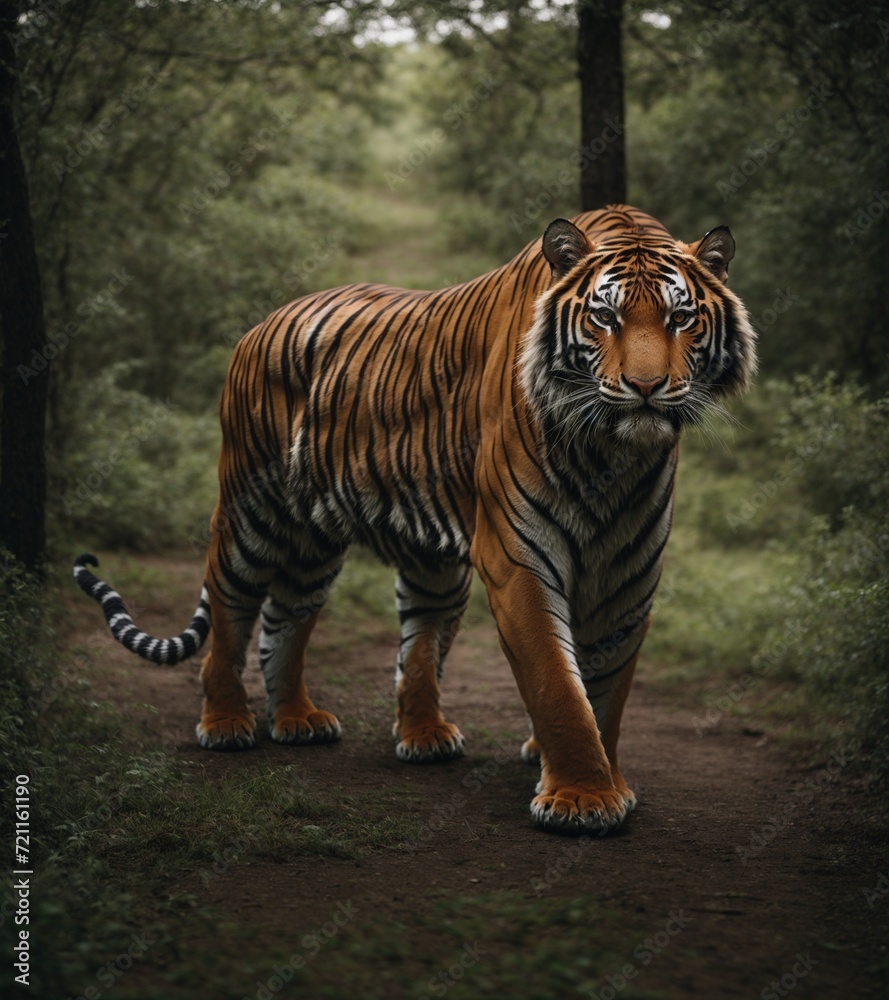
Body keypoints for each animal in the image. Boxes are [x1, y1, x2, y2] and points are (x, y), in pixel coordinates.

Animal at [75, 204, 756, 835]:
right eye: (604, 317)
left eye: (680, 318)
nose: (646, 386)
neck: (613, 456)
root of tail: (261, 323)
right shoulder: (515, 556)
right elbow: (557, 683)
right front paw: (581, 800)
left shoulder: (628, 571)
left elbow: (607, 689)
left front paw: (602, 779)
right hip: (251, 510)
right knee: (230, 610)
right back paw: (226, 722)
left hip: (340, 548)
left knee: (300, 622)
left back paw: (331, 723)